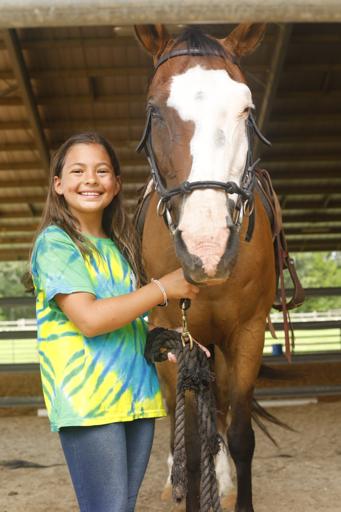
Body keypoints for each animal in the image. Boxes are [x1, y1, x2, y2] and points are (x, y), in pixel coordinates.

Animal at [134, 23, 278, 512]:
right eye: (154, 110)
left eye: (246, 108)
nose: (206, 247)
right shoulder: (177, 338)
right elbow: (192, 448)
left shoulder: (248, 333)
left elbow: (239, 435)